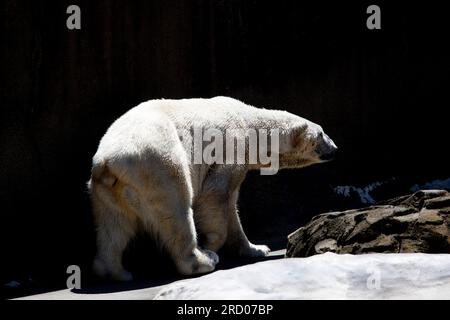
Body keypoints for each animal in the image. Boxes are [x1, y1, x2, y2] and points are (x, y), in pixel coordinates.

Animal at [88, 95, 336, 280]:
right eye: (321, 132)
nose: (335, 148)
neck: (247, 120)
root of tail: (107, 161)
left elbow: (233, 210)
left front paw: (257, 248)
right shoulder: (231, 147)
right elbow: (216, 196)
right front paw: (211, 244)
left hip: (109, 190)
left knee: (114, 224)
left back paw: (116, 271)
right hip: (157, 166)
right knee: (176, 211)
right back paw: (203, 260)